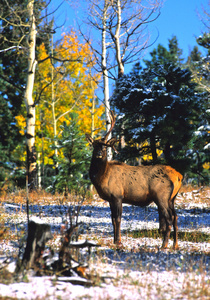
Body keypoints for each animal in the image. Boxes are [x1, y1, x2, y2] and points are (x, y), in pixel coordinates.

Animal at [86, 111, 183, 250]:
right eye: (94, 146)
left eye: (104, 147)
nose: (99, 153)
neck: (101, 178)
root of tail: (179, 176)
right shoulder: (110, 199)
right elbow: (112, 219)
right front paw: (115, 241)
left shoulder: (117, 195)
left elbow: (117, 219)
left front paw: (118, 242)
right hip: (172, 198)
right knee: (175, 216)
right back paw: (175, 245)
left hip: (161, 196)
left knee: (169, 218)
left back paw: (163, 245)